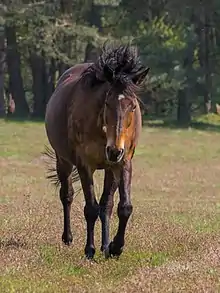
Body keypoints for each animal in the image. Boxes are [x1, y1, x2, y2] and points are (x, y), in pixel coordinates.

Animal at [45, 42, 150, 258]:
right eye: (107, 102)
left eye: (132, 106)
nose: (114, 151)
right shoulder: (85, 165)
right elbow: (90, 208)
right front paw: (90, 250)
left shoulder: (124, 162)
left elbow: (122, 207)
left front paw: (115, 247)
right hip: (63, 161)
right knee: (67, 195)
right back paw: (68, 238)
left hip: (110, 168)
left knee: (106, 205)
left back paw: (105, 245)